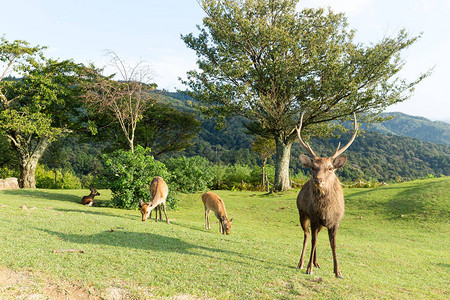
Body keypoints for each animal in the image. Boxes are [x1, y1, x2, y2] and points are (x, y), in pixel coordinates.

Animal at [296, 112, 358, 278]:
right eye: (313, 167)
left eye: (330, 168)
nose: (318, 180)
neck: (326, 210)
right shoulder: (314, 217)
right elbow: (314, 241)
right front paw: (309, 268)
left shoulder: (335, 221)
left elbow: (333, 244)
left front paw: (338, 271)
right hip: (302, 213)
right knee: (307, 235)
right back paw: (301, 263)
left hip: (320, 224)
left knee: (313, 236)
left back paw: (316, 262)